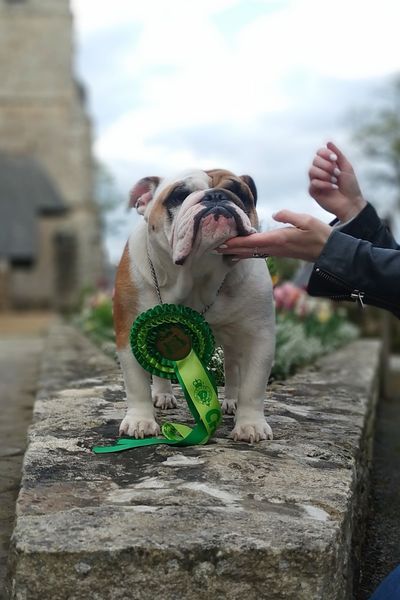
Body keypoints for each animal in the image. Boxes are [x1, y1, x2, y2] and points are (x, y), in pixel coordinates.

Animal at [112, 168, 276, 440]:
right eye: (179, 195)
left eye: (241, 193)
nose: (217, 196)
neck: (200, 274)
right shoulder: (129, 330)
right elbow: (136, 382)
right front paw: (140, 421)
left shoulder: (259, 335)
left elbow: (253, 385)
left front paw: (250, 424)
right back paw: (163, 395)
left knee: (232, 369)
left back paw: (231, 401)